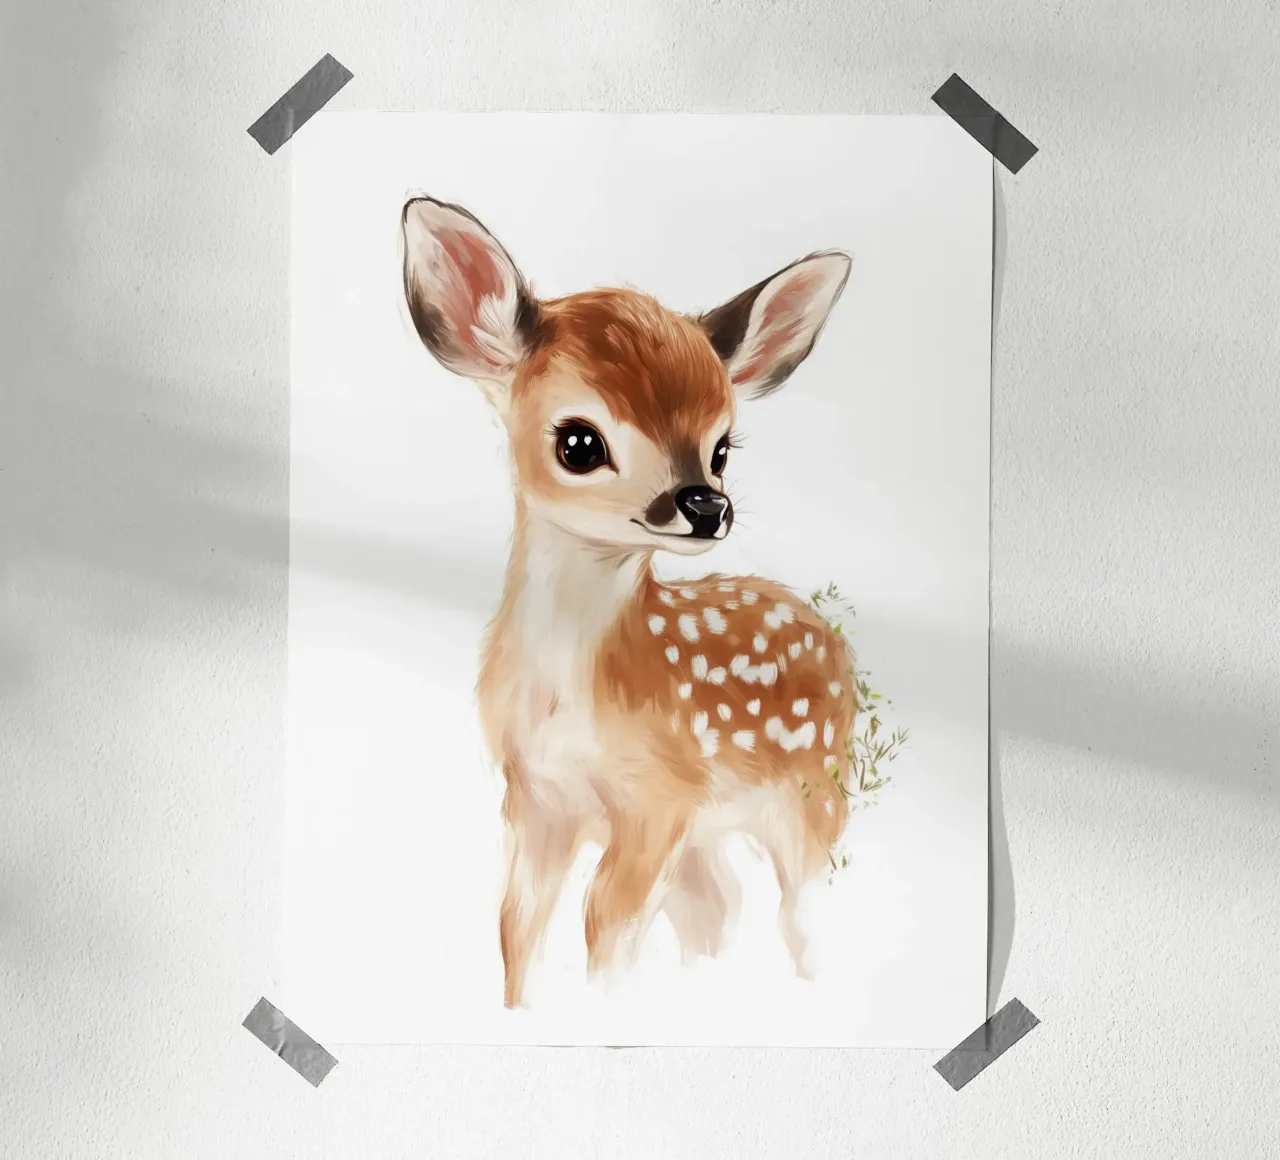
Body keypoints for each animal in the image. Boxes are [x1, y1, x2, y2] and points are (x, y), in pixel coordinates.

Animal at [400, 194, 857, 1008]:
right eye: (579, 443)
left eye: (722, 448)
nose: (706, 505)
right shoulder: (534, 797)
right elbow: (517, 929)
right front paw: (522, 1010)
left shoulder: (659, 799)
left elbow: (603, 931)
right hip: (719, 828)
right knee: (718, 908)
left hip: (815, 796)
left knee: (802, 916)